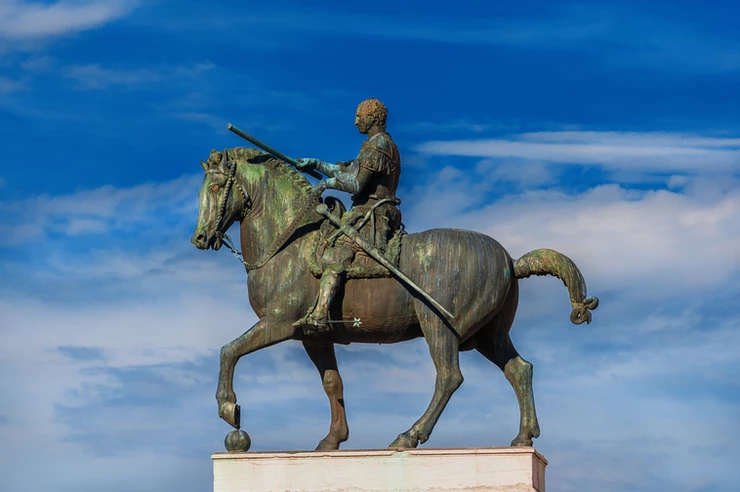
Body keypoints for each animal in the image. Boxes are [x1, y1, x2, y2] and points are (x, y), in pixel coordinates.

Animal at [189, 146, 596, 450]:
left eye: (215, 189)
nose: (200, 238)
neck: (290, 242)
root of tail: (511, 261)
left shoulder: (278, 323)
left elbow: (229, 351)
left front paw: (229, 408)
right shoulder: (313, 336)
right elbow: (333, 382)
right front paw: (332, 440)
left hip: (439, 326)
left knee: (449, 377)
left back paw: (409, 435)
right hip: (489, 335)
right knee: (519, 370)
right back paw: (523, 437)